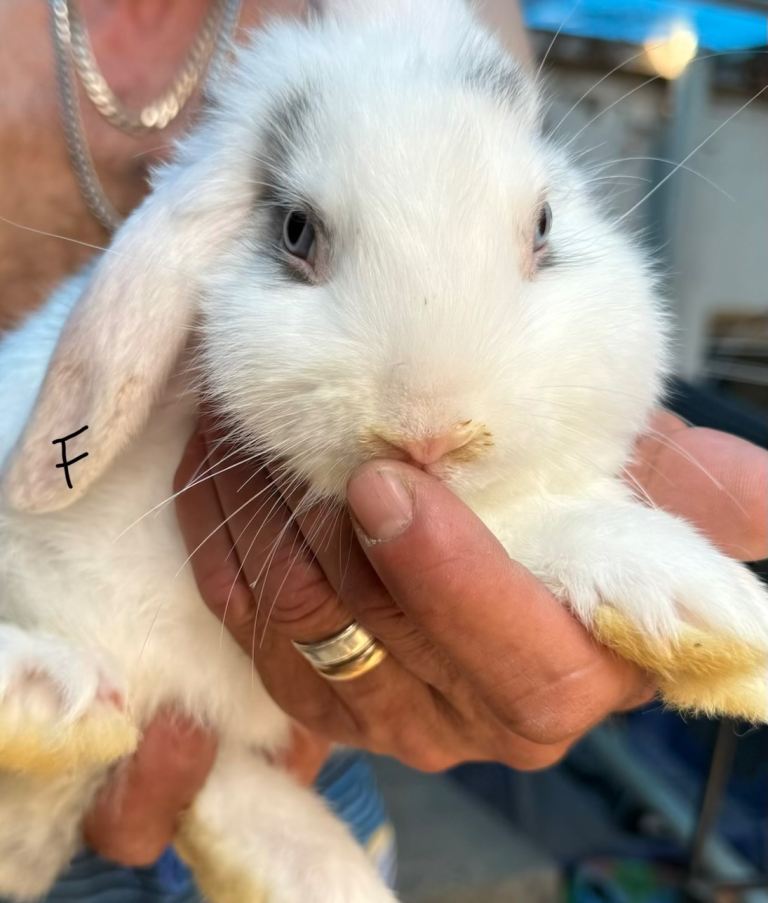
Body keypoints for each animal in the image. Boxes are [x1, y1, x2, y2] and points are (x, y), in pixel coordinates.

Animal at [1, 0, 767, 899]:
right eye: (296, 230)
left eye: (544, 225)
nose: (430, 431)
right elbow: (525, 523)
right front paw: (720, 609)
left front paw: (726, 641)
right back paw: (53, 689)